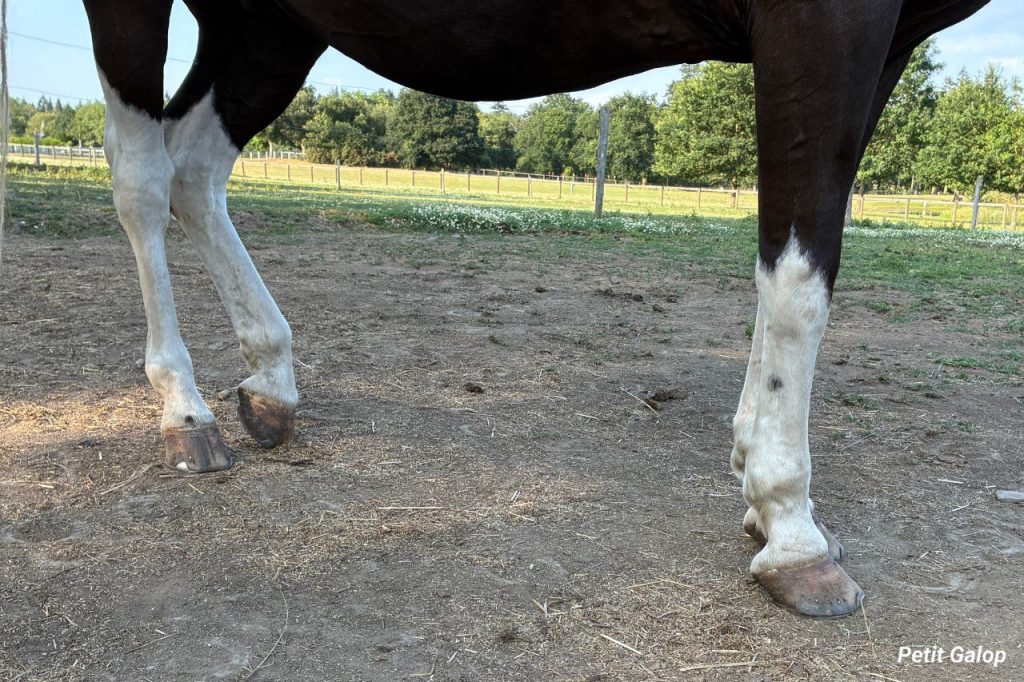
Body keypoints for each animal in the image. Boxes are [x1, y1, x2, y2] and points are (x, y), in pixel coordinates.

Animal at [67, 0, 989, 618]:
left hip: (265, 21)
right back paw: (184, 412)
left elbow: (788, 262)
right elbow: (799, 281)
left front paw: (759, 489)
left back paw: (270, 381)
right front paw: (793, 528)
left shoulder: (887, 44)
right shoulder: (824, 22)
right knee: (143, 175)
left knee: (195, 167)